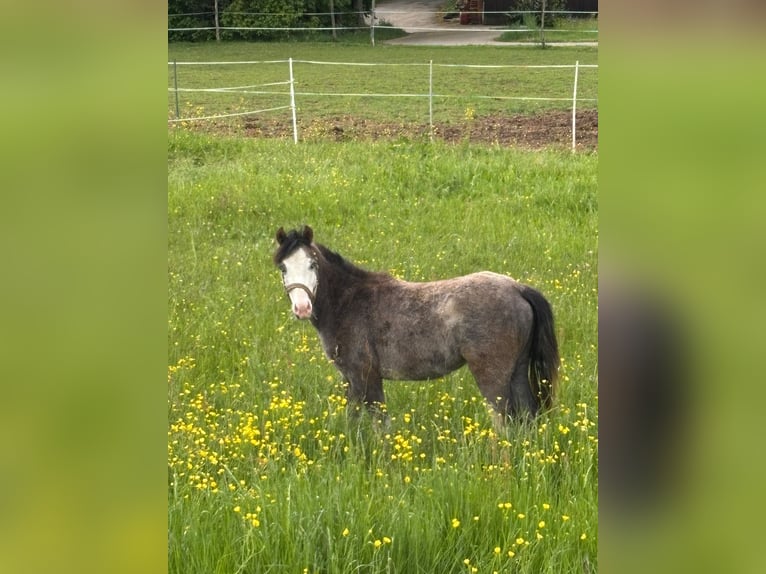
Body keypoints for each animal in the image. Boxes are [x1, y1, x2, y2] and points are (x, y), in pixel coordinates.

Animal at [274, 225, 559, 422]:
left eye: (312, 264)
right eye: (283, 268)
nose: (302, 308)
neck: (349, 301)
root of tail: (518, 288)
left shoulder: (365, 376)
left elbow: (380, 424)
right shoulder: (350, 379)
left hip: (493, 377)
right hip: (518, 371)